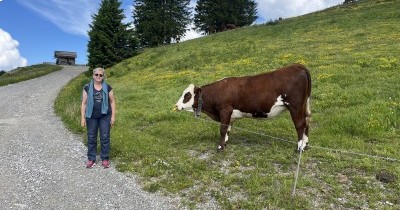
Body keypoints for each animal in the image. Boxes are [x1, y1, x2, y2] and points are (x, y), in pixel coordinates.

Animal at [175, 63, 312, 151]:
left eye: (187, 95)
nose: (176, 105)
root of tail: (296, 65)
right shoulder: (229, 115)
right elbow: (228, 129)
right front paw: (225, 144)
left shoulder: (225, 110)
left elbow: (222, 129)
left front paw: (219, 147)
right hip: (303, 105)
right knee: (307, 123)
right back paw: (305, 145)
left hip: (295, 106)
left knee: (300, 125)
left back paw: (300, 147)